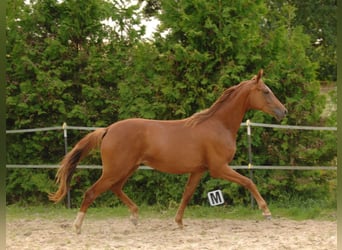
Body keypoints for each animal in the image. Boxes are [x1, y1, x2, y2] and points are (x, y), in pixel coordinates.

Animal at [49, 69, 288, 233]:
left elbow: (186, 194)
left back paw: (134, 216)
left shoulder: (198, 170)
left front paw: (179, 222)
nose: (283, 111)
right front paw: (266, 211)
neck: (218, 125)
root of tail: (107, 130)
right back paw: (77, 226)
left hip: (127, 168)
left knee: (115, 188)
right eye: (266, 92)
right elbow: (248, 182)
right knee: (92, 192)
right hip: (116, 169)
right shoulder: (219, 168)